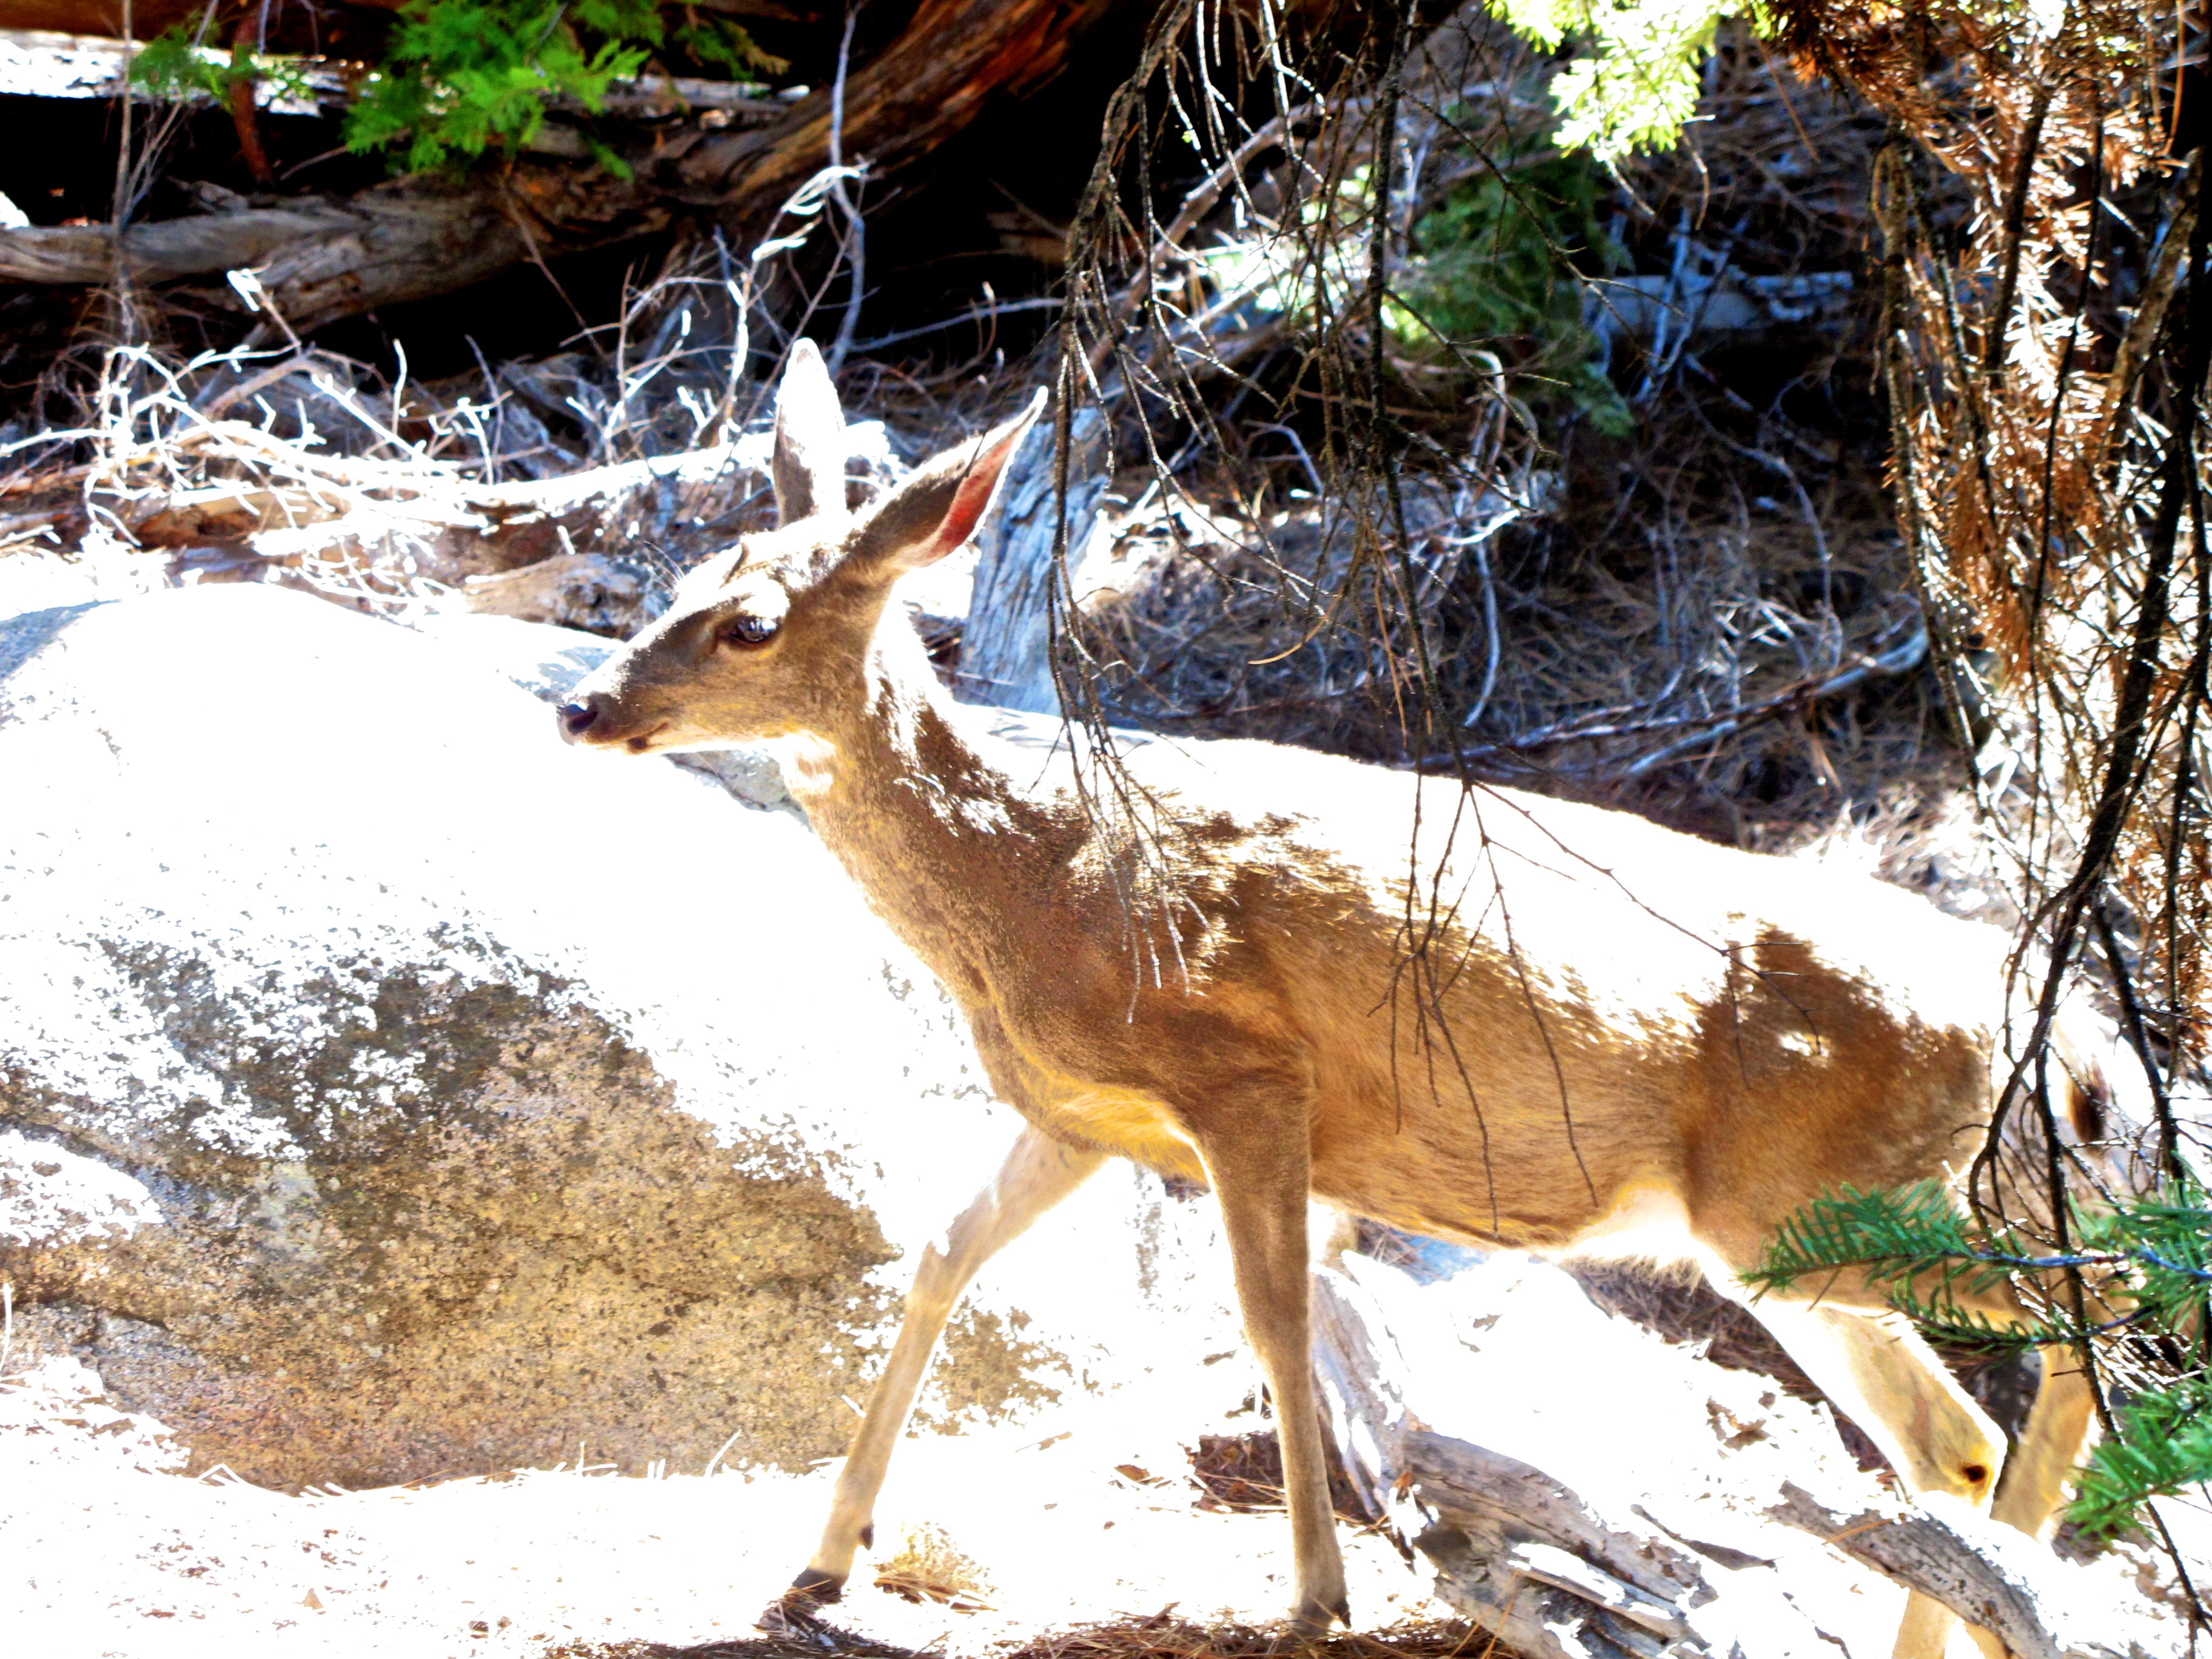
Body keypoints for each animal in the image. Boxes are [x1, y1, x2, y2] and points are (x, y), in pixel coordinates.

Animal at [558, 341, 2109, 1659]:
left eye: (749, 624)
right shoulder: (1087, 1113)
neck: (1039, 885)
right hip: (1783, 1230)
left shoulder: (1248, 1076)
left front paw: (1315, 1594)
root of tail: (2047, 1023)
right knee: (1950, 1436)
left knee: (2087, 1306)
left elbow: (1274, 1321)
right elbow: (943, 1251)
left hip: (1808, 1198)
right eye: (677, 577)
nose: (581, 706)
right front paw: (821, 1558)